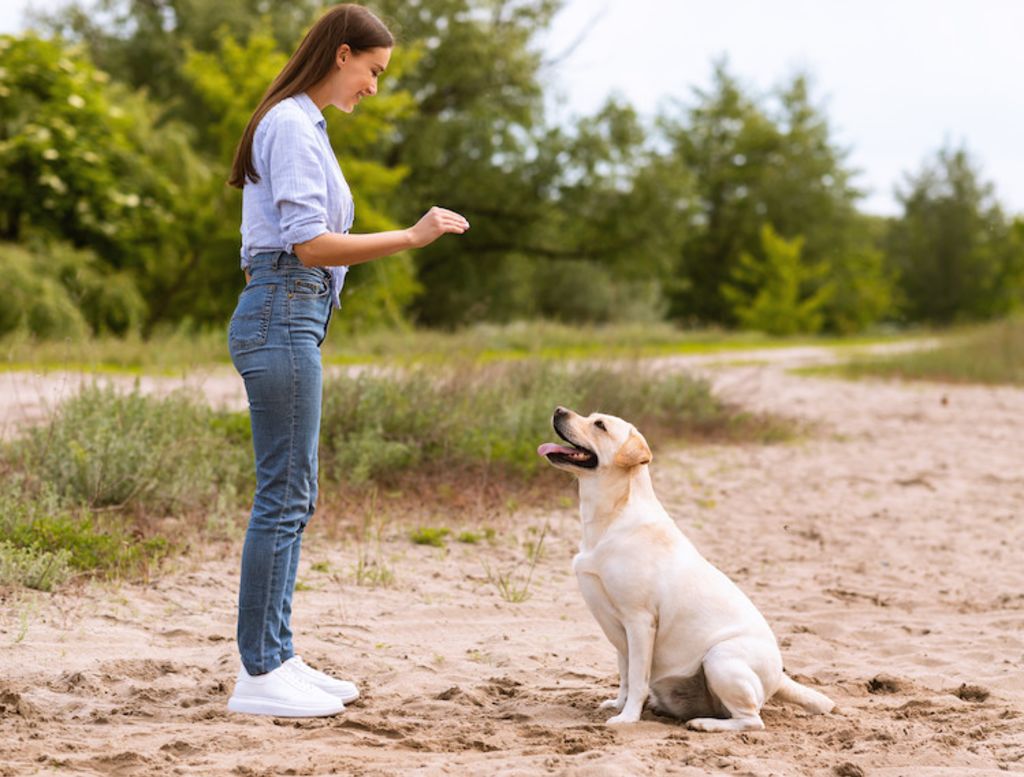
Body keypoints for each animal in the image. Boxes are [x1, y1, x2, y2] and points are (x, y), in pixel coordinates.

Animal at [536, 407, 831, 728]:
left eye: (599, 425)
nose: (558, 410)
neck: (611, 515)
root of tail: (779, 677)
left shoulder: (639, 621)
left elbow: (637, 678)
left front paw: (627, 718)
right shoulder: (619, 632)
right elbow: (625, 675)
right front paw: (618, 705)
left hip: (720, 658)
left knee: (751, 720)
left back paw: (704, 724)